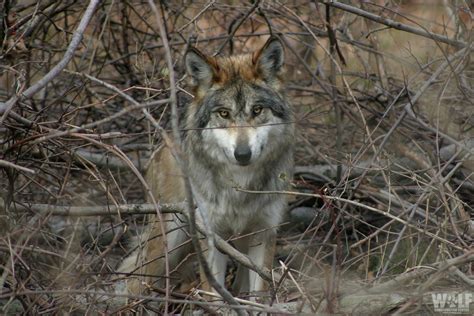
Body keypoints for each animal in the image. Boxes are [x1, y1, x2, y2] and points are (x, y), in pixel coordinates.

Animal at [118, 36, 294, 298]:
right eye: (223, 113)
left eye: (257, 110)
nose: (243, 154)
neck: (240, 184)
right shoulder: (212, 236)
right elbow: (215, 294)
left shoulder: (263, 233)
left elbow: (260, 292)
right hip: (168, 243)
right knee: (135, 281)